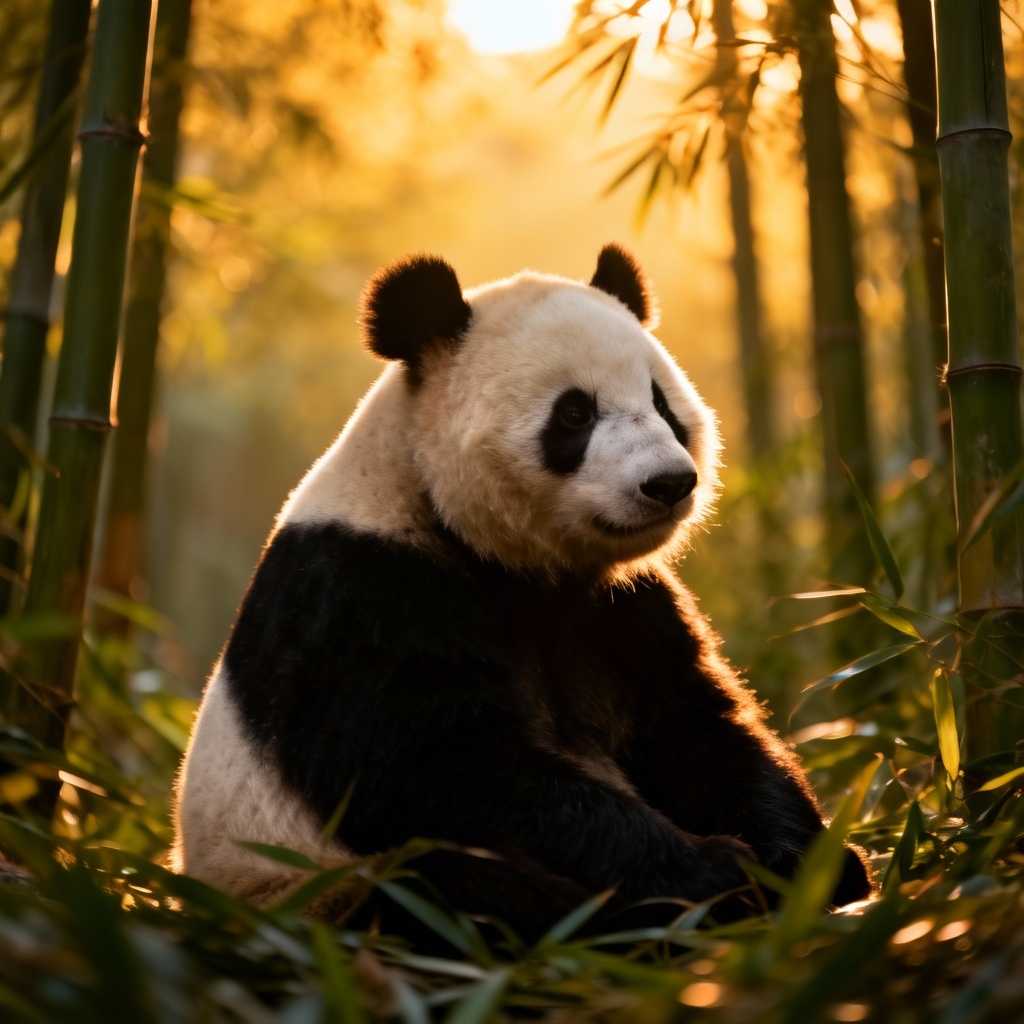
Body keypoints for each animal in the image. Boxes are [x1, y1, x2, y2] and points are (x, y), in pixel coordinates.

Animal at [173, 244, 871, 937]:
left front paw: (812, 864)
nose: (670, 483)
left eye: (662, 404)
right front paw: (716, 874)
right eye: (575, 413)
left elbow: (695, 726)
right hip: (311, 894)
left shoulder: (623, 608)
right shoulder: (360, 592)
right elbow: (447, 771)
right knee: (448, 887)